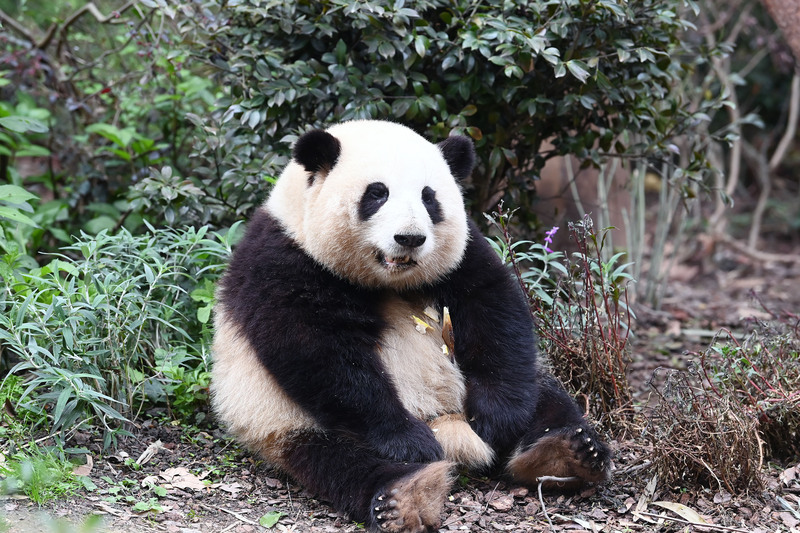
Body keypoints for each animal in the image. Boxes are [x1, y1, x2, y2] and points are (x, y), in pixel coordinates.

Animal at [211, 120, 611, 532]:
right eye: (377, 193)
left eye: (429, 198)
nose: (410, 238)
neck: (387, 279)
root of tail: (443, 420)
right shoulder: (285, 259)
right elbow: (318, 351)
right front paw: (408, 441)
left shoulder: (463, 252)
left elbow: (493, 310)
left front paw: (497, 420)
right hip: (282, 416)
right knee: (336, 458)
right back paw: (403, 493)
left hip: (523, 383)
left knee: (546, 399)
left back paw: (568, 452)